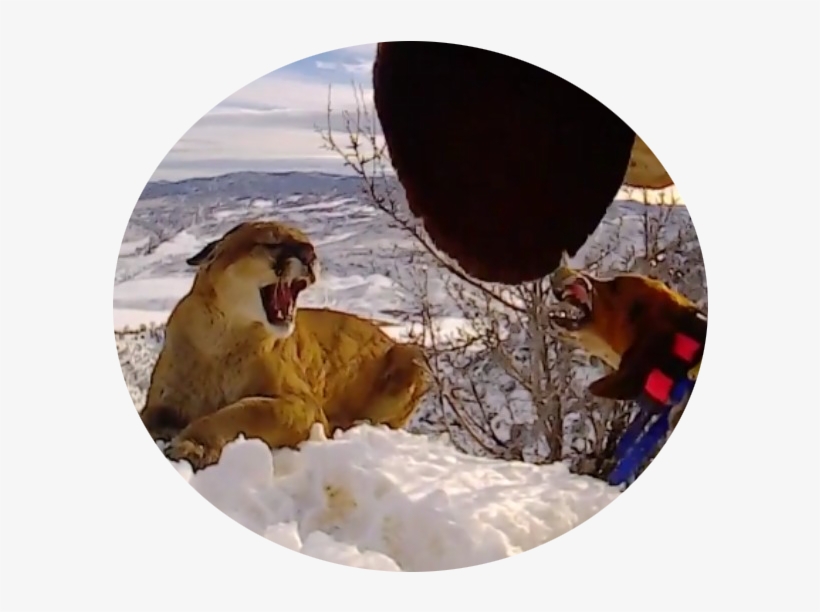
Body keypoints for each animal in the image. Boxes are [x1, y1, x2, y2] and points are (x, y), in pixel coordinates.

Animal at [138, 220, 430, 471]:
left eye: (307, 242)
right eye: (272, 242)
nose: (311, 254)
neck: (222, 337)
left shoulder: (301, 403)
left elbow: (246, 410)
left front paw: (193, 445)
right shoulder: (163, 403)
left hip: (412, 355)